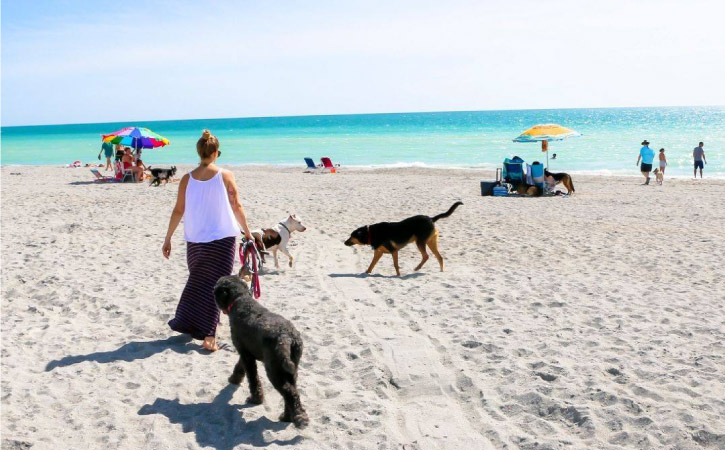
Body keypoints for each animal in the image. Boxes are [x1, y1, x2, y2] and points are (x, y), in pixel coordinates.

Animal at [212, 276, 308, 428]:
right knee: (292, 390)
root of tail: (286, 337)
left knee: (288, 392)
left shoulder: (246, 354)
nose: (212, 292)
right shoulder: (246, 350)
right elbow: (240, 367)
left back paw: (299, 418)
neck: (240, 299)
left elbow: (253, 378)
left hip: (274, 370)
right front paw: (234, 379)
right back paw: (287, 417)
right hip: (291, 367)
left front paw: (256, 399)